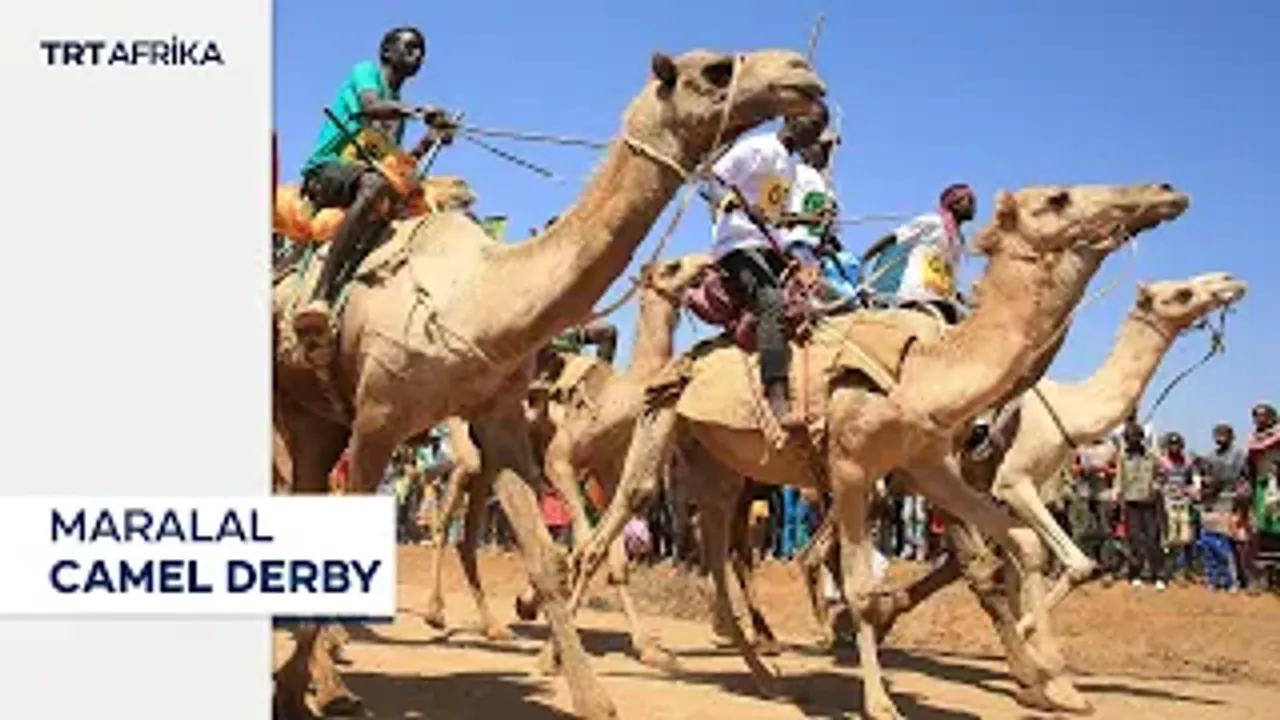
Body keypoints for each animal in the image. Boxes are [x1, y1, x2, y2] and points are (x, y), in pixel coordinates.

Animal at [420, 253, 712, 650]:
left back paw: (494, 626)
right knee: (448, 513)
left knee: (467, 538)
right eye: (672, 266)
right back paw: (435, 613)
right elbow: (585, 542)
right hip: (466, 444)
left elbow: (613, 559)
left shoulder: (605, 472)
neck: (614, 402)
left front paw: (647, 647)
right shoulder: (559, 462)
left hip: (492, 466)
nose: (707, 263)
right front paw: (544, 618)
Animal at [557, 183, 1189, 720]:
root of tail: (676, 365)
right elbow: (865, 587)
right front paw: (882, 700)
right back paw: (569, 665)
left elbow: (1018, 547)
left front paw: (1051, 677)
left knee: (717, 556)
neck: (926, 372)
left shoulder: (928, 467)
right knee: (606, 535)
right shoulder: (853, 468)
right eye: (1059, 198)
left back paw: (764, 677)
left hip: (719, 469)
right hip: (660, 428)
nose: (1164, 192)